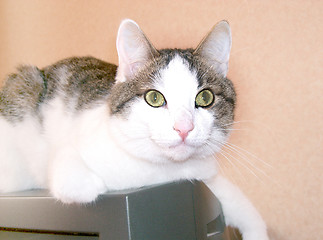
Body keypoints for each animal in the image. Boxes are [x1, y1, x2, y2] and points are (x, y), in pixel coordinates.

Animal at [0, 19, 268, 240]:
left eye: (205, 97)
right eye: (154, 98)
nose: (184, 128)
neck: (163, 171)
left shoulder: (204, 171)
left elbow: (233, 197)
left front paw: (256, 230)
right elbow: (69, 169)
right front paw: (92, 184)